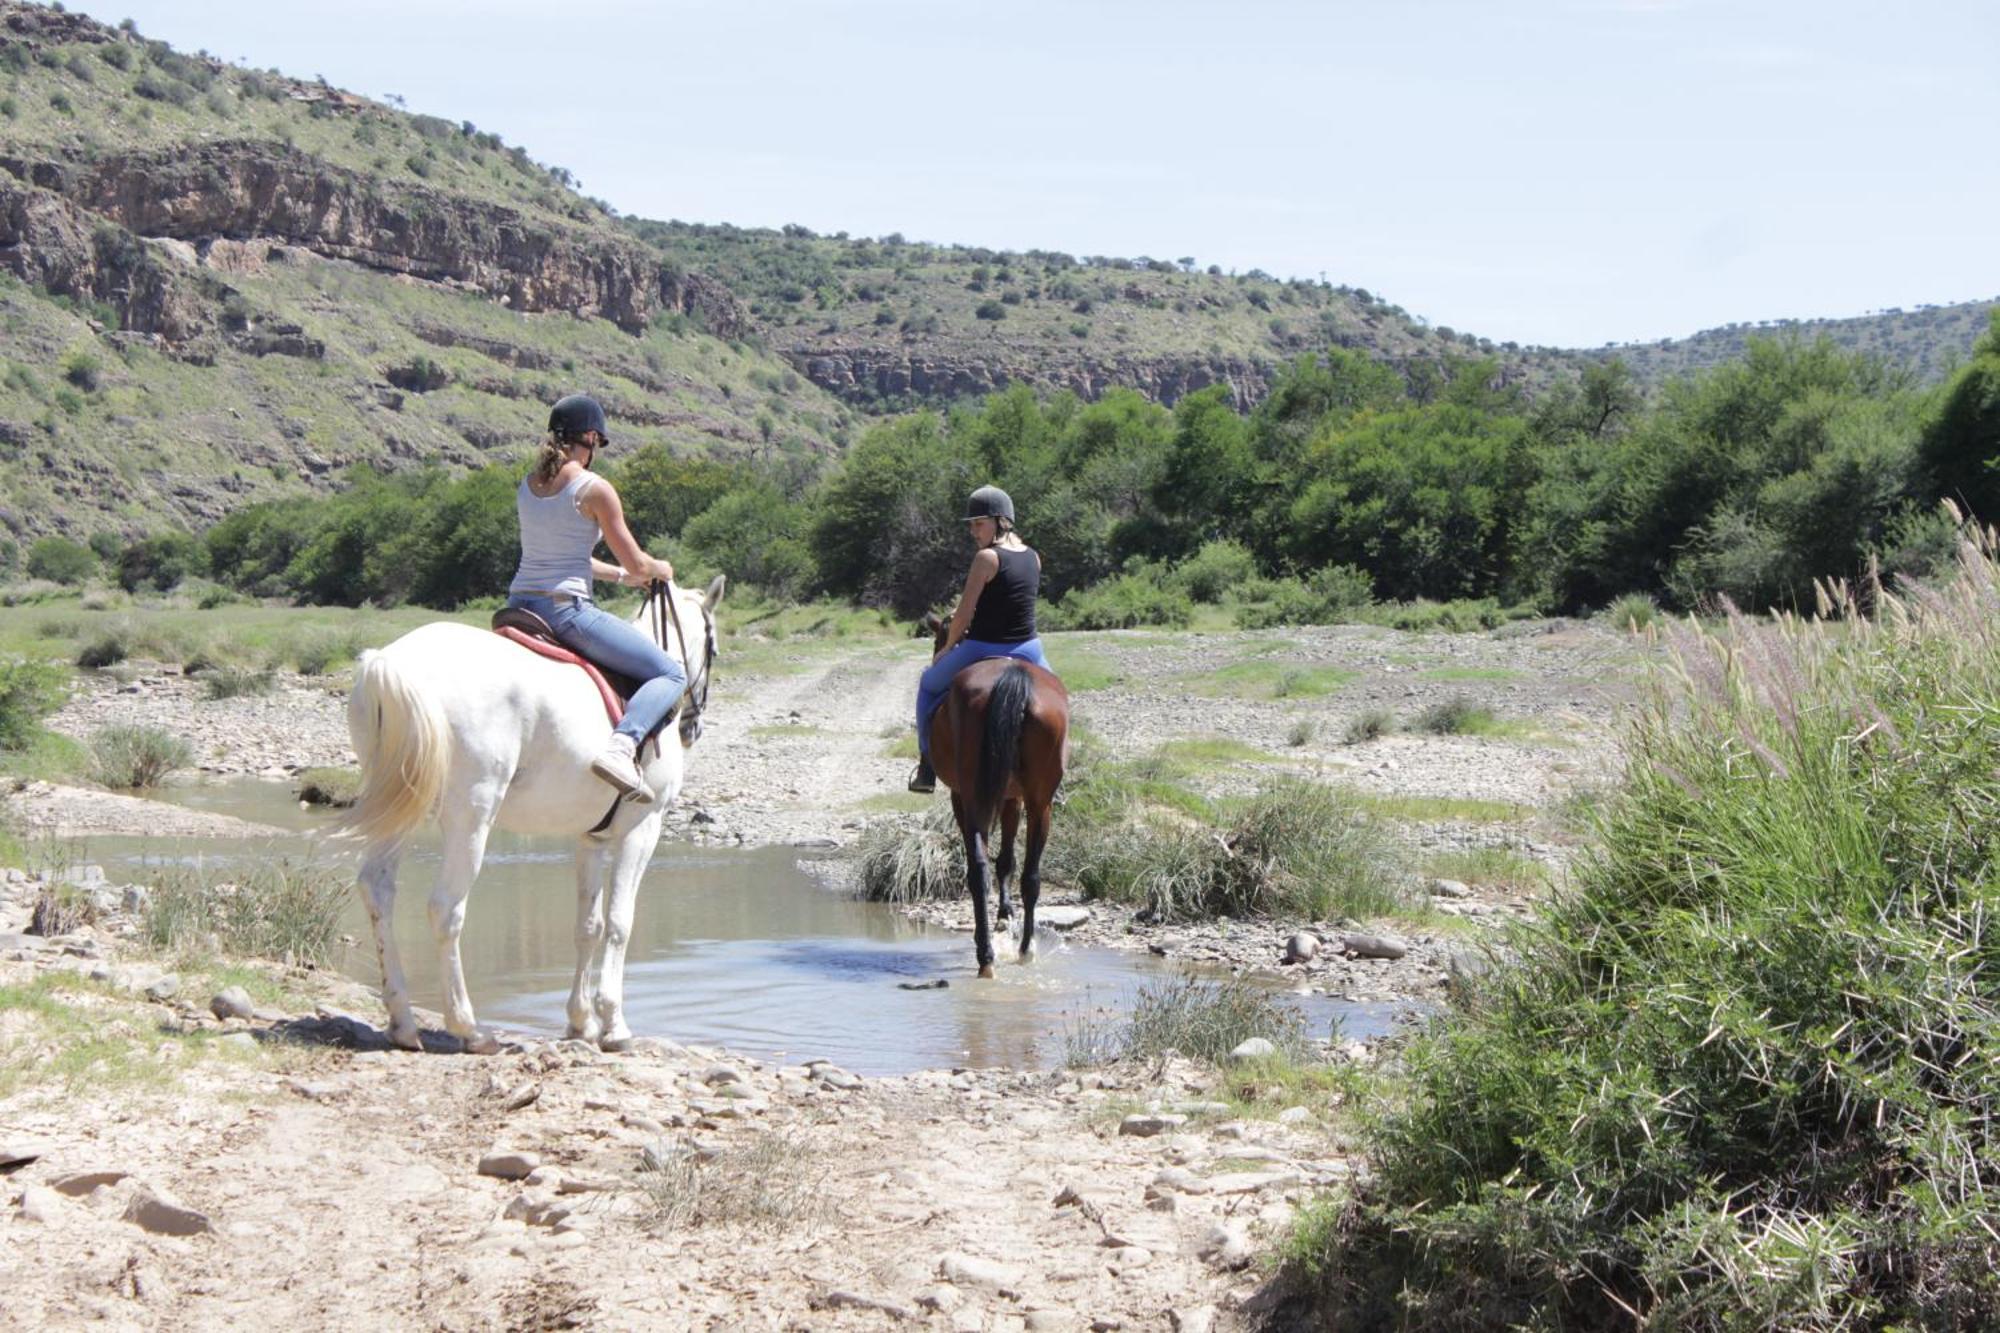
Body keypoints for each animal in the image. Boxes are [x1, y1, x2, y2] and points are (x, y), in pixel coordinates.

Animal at [340, 576, 724, 1056]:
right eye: (713, 648)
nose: (693, 727)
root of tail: (391, 663)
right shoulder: (642, 827)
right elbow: (620, 923)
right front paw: (614, 1025)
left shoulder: (591, 839)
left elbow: (588, 926)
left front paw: (581, 1023)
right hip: (471, 816)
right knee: (446, 909)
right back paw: (470, 1029)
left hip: (400, 806)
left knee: (378, 890)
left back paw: (403, 1023)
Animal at [924, 616, 1072, 976]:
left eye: (938, 643)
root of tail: (1013, 677)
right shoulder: (1012, 798)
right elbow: (1007, 860)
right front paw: (1006, 914)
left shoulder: (962, 797)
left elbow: (997, 859)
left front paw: (1002, 916)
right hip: (1040, 803)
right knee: (1031, 876)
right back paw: (1025, 949)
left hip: (974, 798)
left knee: (978, 871)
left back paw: (985, 954)